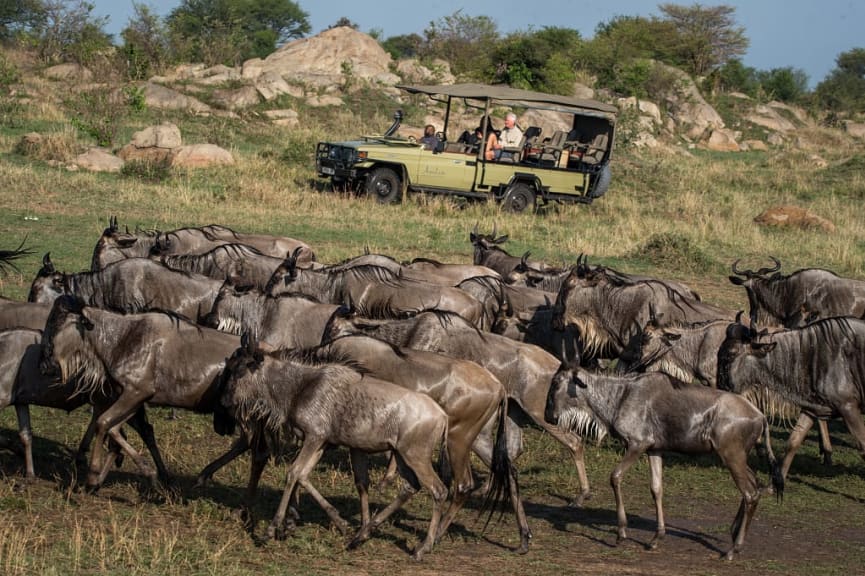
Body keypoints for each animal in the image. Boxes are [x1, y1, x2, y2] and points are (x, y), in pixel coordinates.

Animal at [548, 366, 784, 560]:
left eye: (557, 382)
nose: (549, 416)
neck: (620, 396)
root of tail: (761, 416)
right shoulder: (654, 449)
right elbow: (656, 489)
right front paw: (656, 538)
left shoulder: (638, 444)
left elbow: (615, 477)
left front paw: (621, 533)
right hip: (740, 457)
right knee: (755, 485)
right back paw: (734, 533)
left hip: (731, 456)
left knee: (750, 492)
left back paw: (733, 549)